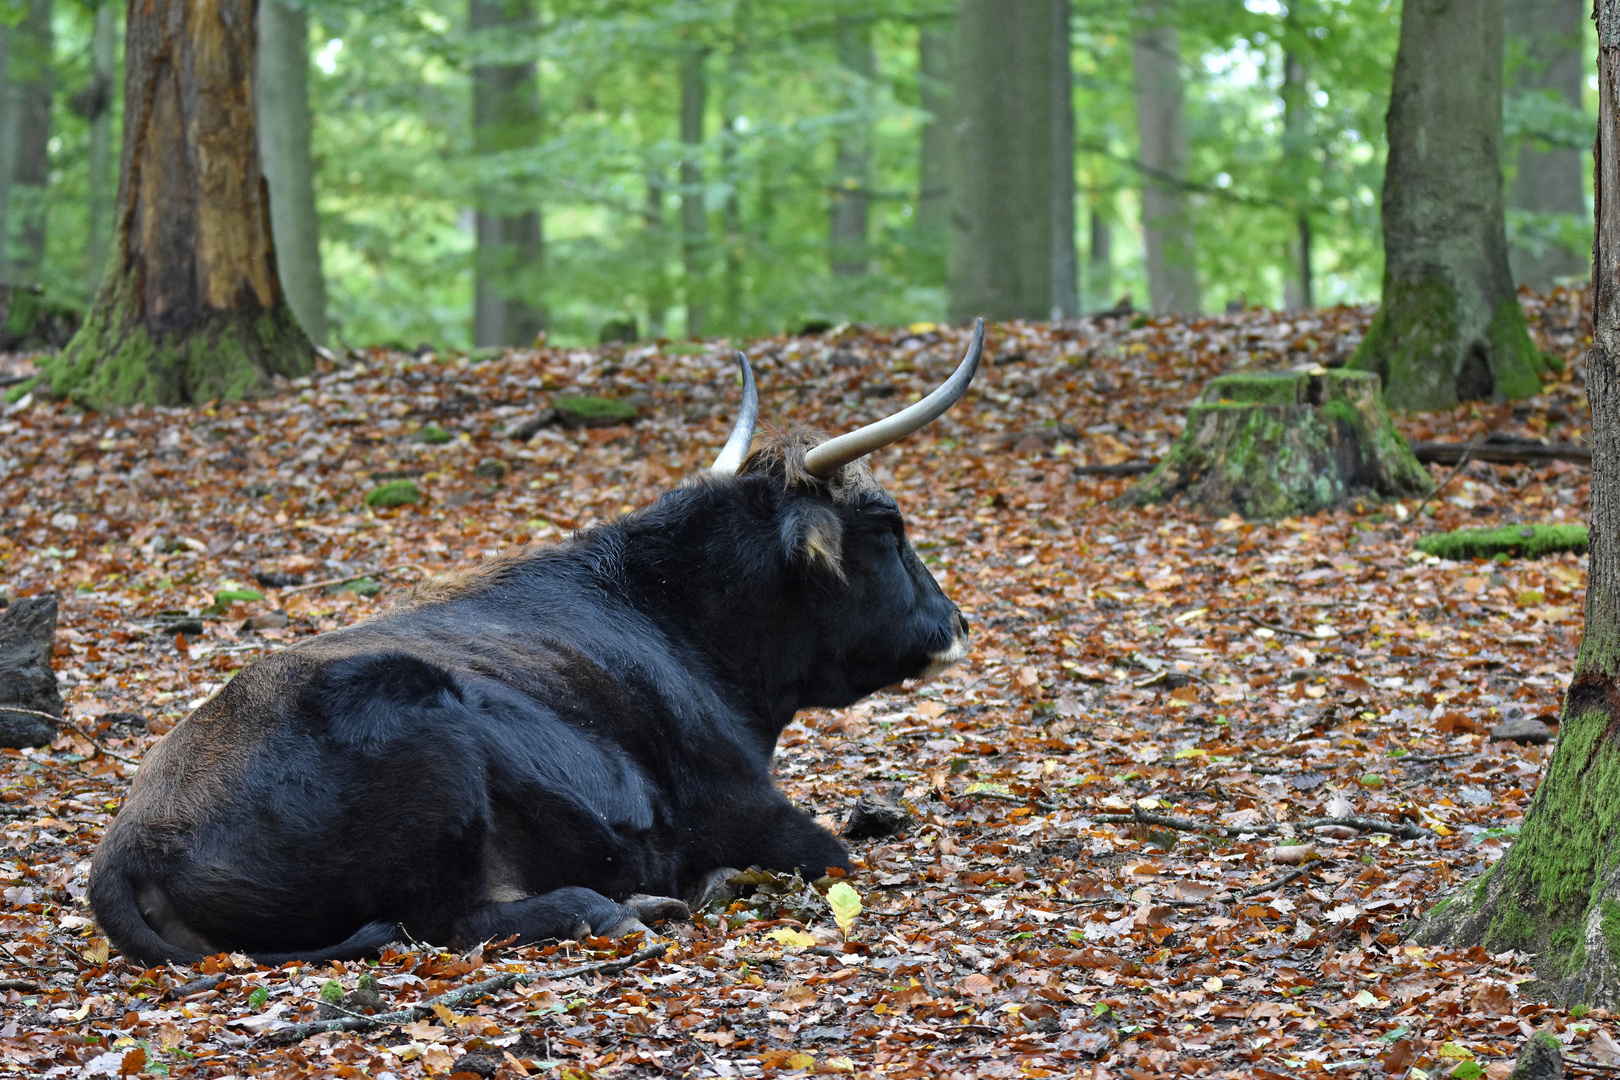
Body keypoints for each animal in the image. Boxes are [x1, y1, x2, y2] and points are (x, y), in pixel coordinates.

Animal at [94, 327, 978, 965]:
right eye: (888, 526)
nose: (957, 625)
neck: (672, 619)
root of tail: (131, 838)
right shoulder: (752, 811)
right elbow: (832, 852)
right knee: (442, 921)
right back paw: (622, 908)